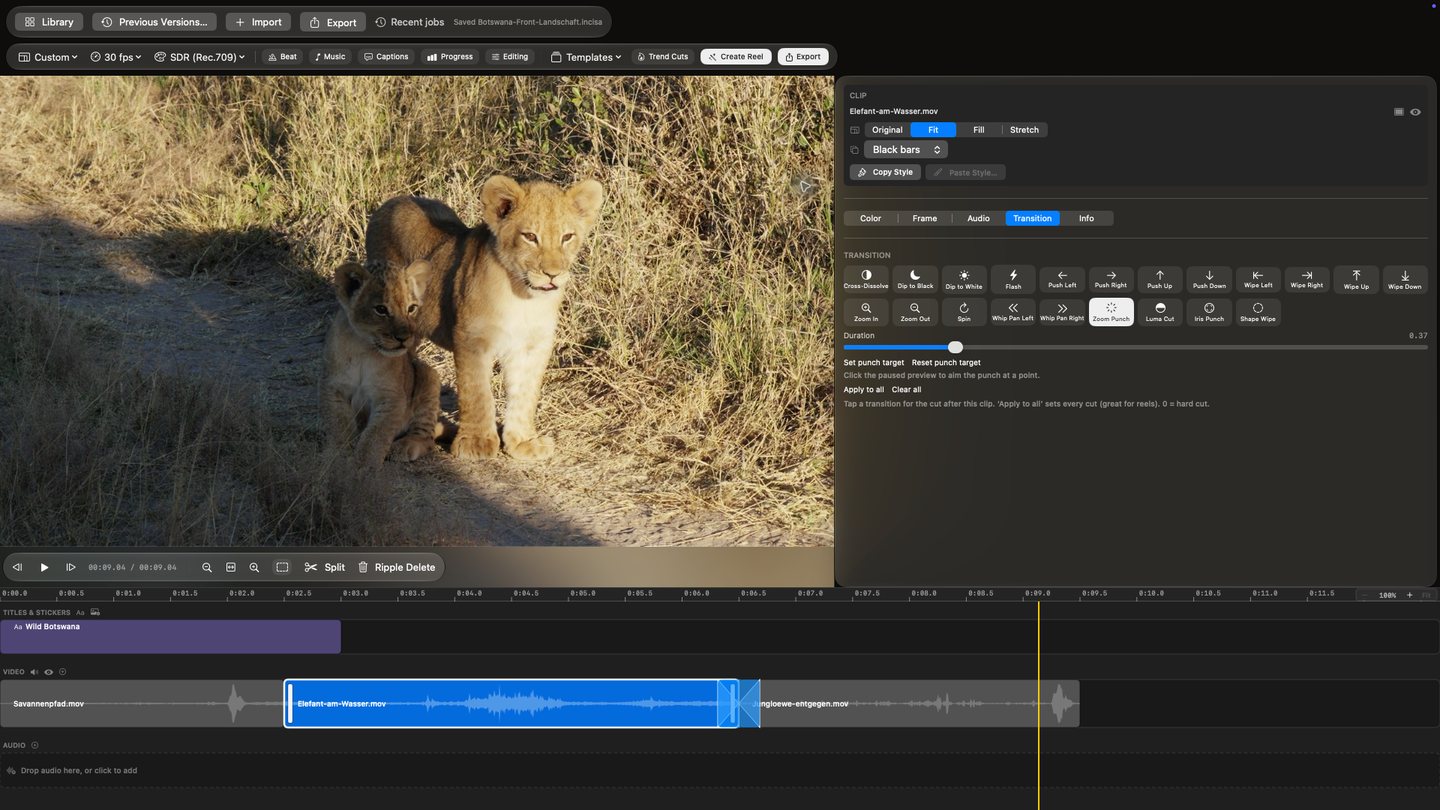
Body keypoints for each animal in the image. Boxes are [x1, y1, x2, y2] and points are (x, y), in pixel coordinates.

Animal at [322, 260, 441, 469]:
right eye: (381, 309)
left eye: (411, 308)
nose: (404, 338)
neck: (364, 348)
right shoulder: (334, 389)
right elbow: (340, 426)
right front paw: (338, 457)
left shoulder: (391, 398)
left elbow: (375, 436)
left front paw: (363, 466)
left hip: (428, 377)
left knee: (427, 437)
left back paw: (403, 447)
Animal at [365, 176, 604, 461]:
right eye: (530, 237)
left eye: (567, 237)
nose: (553, 274)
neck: (524, 297)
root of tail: (392, 202)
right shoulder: (472, 339)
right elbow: (477, 392)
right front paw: (476, 443)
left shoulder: (532, 346)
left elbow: (526, 393)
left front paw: (523, 442)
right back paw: (409, 441)